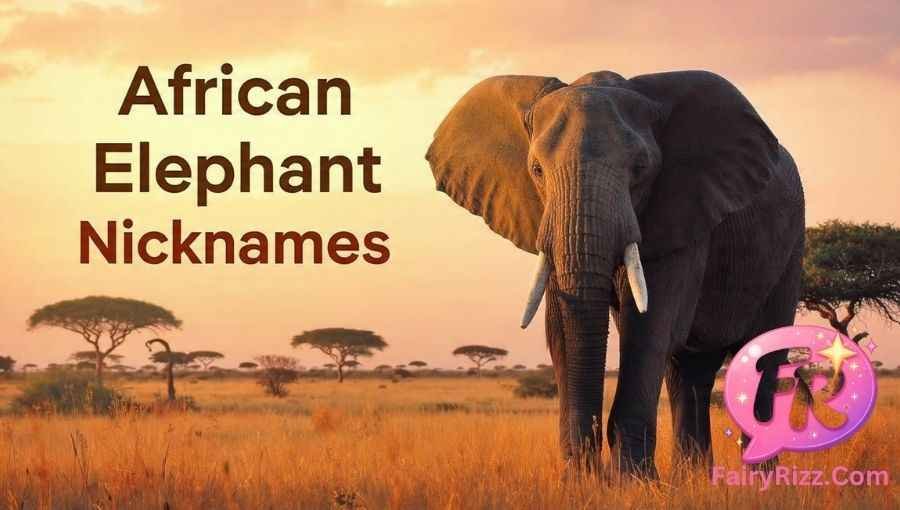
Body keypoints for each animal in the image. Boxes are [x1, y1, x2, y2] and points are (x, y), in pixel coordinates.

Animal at [425, 70, 804, 477]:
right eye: (536, 170)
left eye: (640, 169)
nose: (594, 471)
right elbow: (560, 330)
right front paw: (581, 482)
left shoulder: (682, 212)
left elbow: (649, 328)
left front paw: (632, 482)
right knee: (688, 372)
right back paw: (692, 479)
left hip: (791, 247)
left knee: (762, 357)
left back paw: (761, 481)